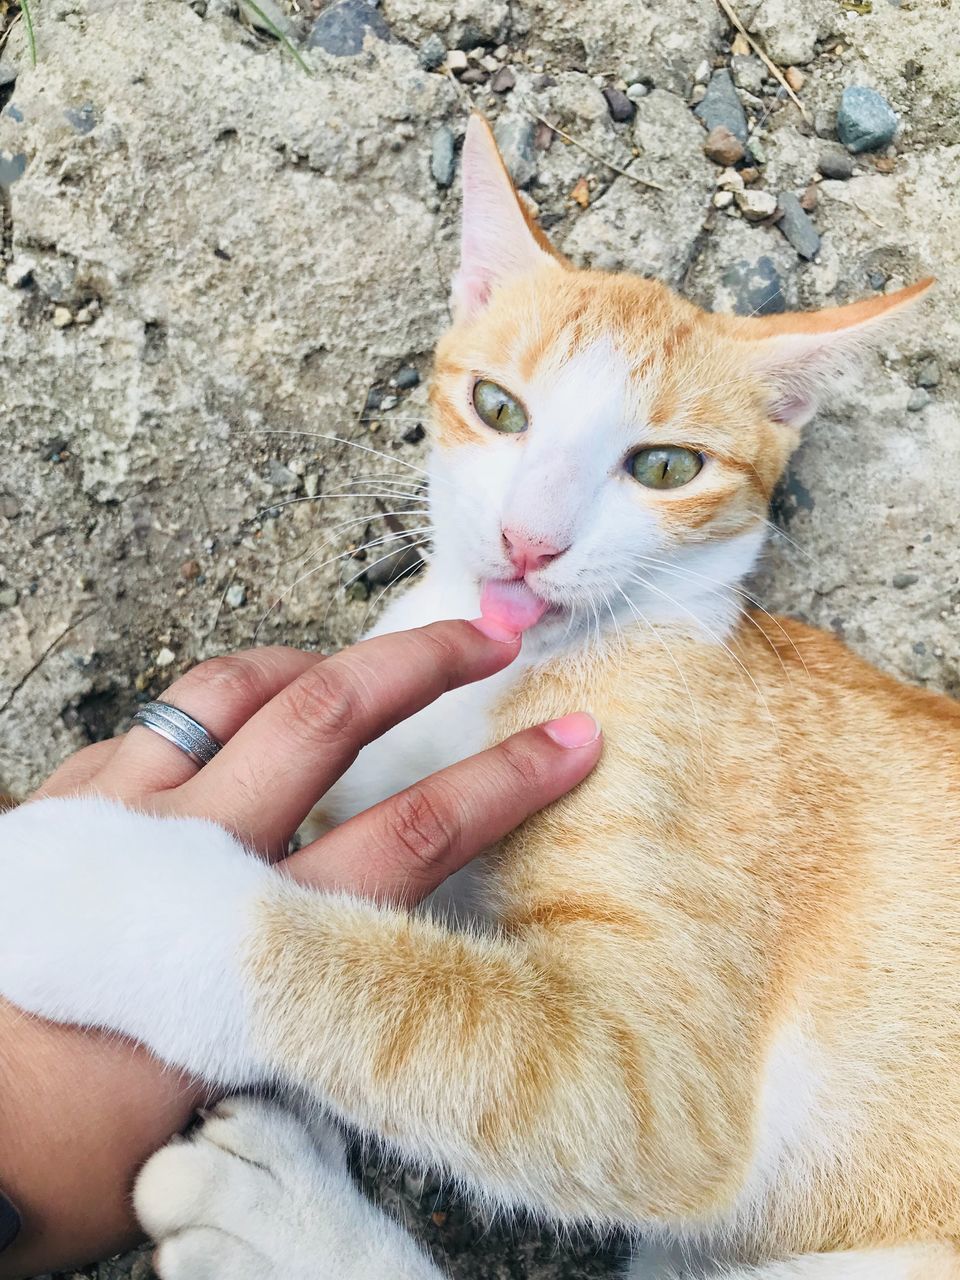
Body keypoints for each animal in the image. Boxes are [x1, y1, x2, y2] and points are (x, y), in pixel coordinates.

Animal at [1, 112, 960, 1280]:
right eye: (499, 407)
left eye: (667, 465)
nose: (529, 541)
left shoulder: (664, 1084)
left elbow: (417, 1003)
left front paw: (98, 886)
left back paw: (271, 1215)